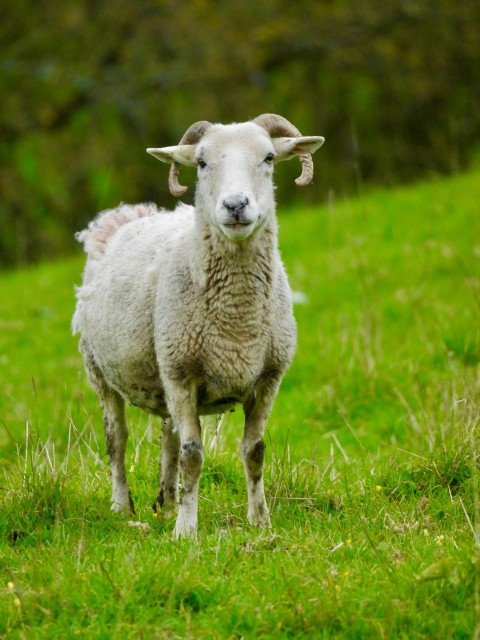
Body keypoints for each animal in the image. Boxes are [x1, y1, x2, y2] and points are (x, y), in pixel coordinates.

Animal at [72, 113, 324, 537]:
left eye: (269, 158)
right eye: (202, 163)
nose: (236, 205)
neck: (237, 320)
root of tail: (123, 215)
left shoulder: (268, 377)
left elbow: (254, 451)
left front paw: (260, 521)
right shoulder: (181, 373)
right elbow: (193, 455)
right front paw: (186, 530)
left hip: (165, 373)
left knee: (169, 437)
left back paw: (167, 501)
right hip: (102, 370)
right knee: (117, 439)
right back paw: (122, 506)